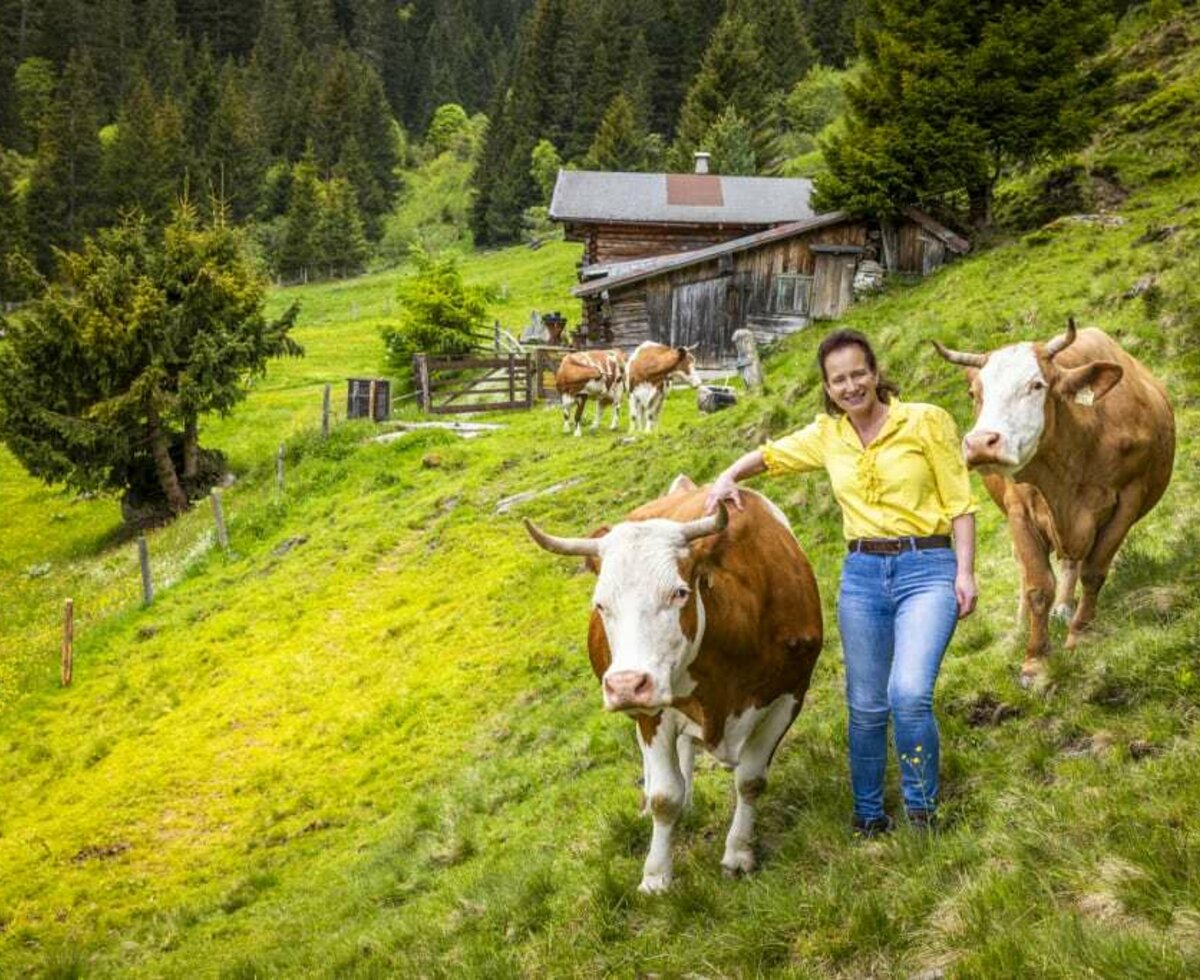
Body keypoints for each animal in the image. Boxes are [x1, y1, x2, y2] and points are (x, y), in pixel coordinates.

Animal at [528, 475, 825, 892]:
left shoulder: (790, 694)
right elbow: (664, 797)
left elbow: (750, 781)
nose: (625, 685)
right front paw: (656, 876)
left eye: (679, 592)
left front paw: (739, 853)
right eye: (601, 604)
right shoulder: (655, 713)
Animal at [936, 316, 1171, 686]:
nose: (980, 443)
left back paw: (1065, 607)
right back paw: (1022, 625)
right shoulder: (1020, 509)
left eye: (1036, 385)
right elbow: (1037, 586)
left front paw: (1080, 635)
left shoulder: (1129, 499)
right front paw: (1034, 660)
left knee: (1074, 562)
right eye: (975, 393)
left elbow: (1094, 571)